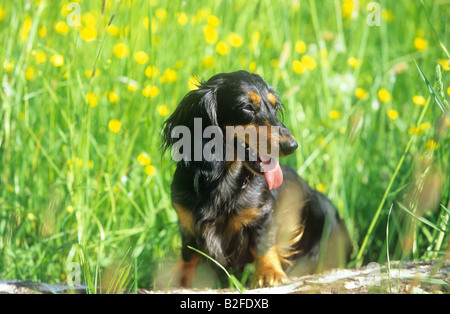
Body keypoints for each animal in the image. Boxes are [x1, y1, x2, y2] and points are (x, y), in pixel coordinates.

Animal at [162, 71, 352, 288]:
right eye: (247, 106)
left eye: (275, 107)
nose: (291, 146)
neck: (222, 179)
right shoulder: (187, 223)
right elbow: (189, 253)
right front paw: (180, 277)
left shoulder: (264, 214)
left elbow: (262, 243)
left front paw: (269, 272)